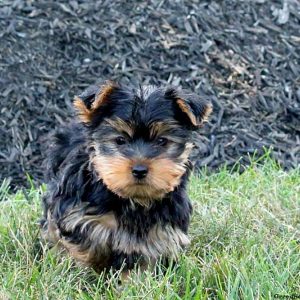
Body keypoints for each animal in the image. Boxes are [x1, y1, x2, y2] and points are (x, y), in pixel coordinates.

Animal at [39, 81, 212, 274]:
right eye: (120, 140)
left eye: (162, 141)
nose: (139, 170)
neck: (134, 200)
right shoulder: (75, 213)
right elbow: (86, 241)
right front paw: (89, 268)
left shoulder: (159, 232)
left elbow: (141, 257)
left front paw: (134, 278)